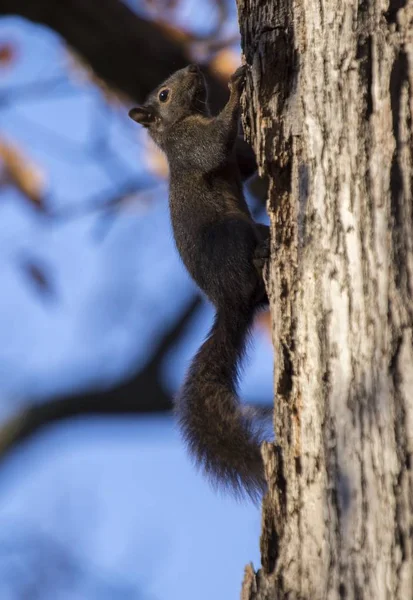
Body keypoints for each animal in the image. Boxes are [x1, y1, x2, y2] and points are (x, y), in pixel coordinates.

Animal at [130, 63, 270, 500]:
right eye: (163, 94)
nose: (194, 67)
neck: (184, 120)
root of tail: (229, 302)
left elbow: (240, 161)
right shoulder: (190, 145)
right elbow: (214, 147)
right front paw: (237, 87)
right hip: (229, 235)